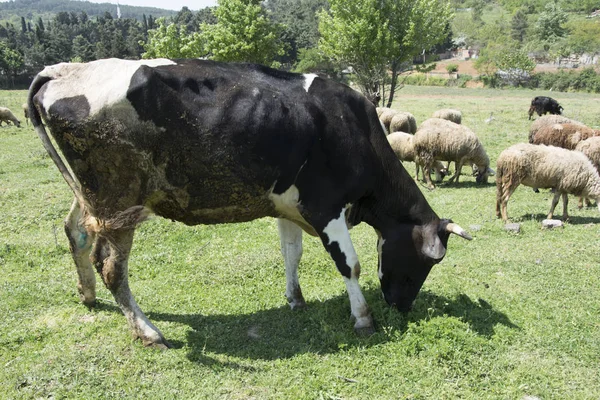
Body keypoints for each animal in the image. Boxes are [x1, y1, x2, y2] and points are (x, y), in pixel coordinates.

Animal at [28, 57, 472, 348]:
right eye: (429, 260)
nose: (402, 306)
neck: (354, 128)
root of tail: (64, 69)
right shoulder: (325, 206)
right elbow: (350, 264)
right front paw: (363, 318)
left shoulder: (289, 205)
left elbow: (291, 253)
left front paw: (295, 299)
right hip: (119, 200)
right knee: (110, 265)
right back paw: (148, 331)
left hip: (91, 197)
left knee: (75, 233)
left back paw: (87, 295)